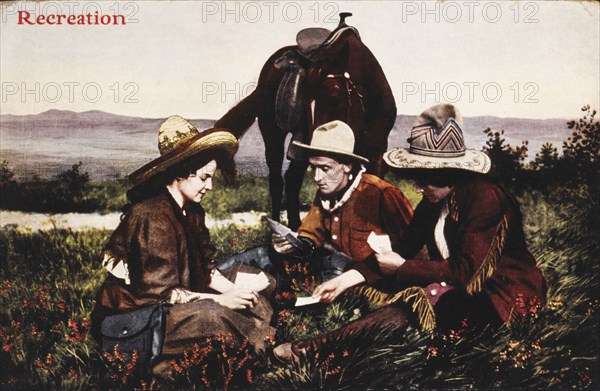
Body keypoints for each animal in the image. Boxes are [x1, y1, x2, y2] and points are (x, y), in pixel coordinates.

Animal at [214, 14, 394, 230]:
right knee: (277, 180)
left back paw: (295, 225)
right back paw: (278, 224)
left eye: (334, 96)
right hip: (273, 134)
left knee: (293, 178)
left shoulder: (376, 149)